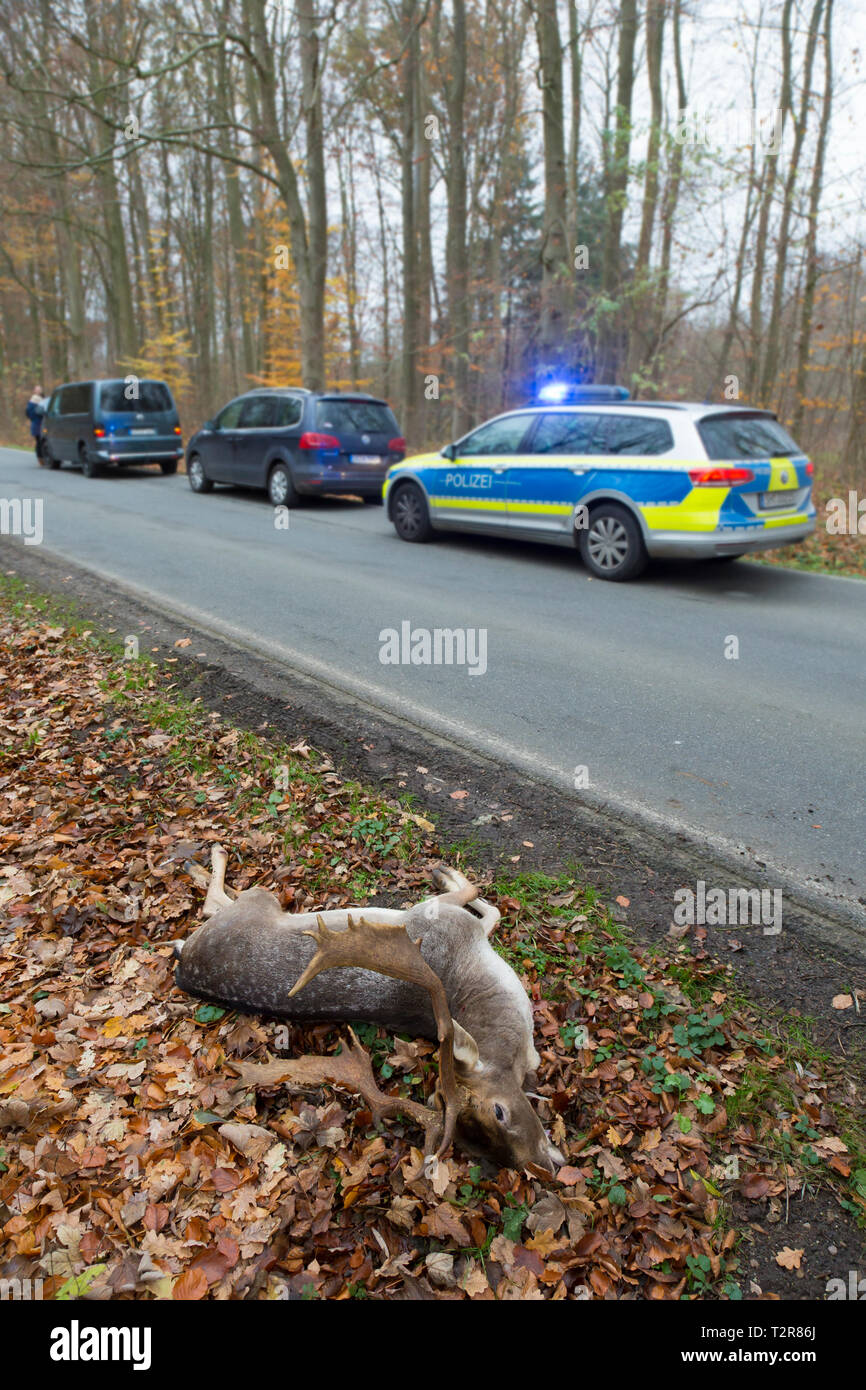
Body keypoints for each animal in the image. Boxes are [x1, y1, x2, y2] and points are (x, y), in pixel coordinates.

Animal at [174, 845, 569, 1173]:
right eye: (499, 1111)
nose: (542, 1168)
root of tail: (183, 970)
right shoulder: (435, 914)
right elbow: (480, 901)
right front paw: (444, 872)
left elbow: (493, 910)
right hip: (261, 899)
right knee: (220, 901)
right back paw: (210, 854)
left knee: (214, 906)